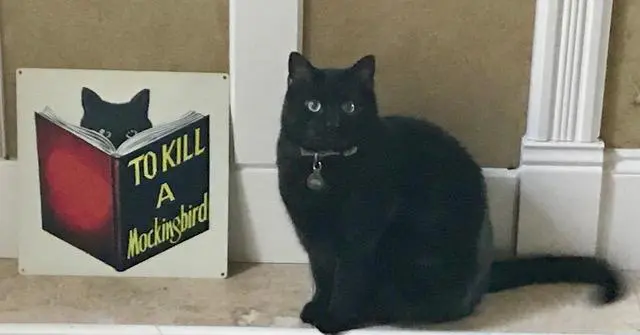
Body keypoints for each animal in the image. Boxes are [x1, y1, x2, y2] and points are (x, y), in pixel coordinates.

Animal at [276, 51, 624, 334]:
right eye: (313, 105)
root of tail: (485, 277)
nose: (332, 123)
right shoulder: (312, 235)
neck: (323, 165)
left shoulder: (360, 235)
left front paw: (334, 319)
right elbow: (322, 274)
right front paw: (317, 307)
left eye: (350, 107)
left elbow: (347, 278)